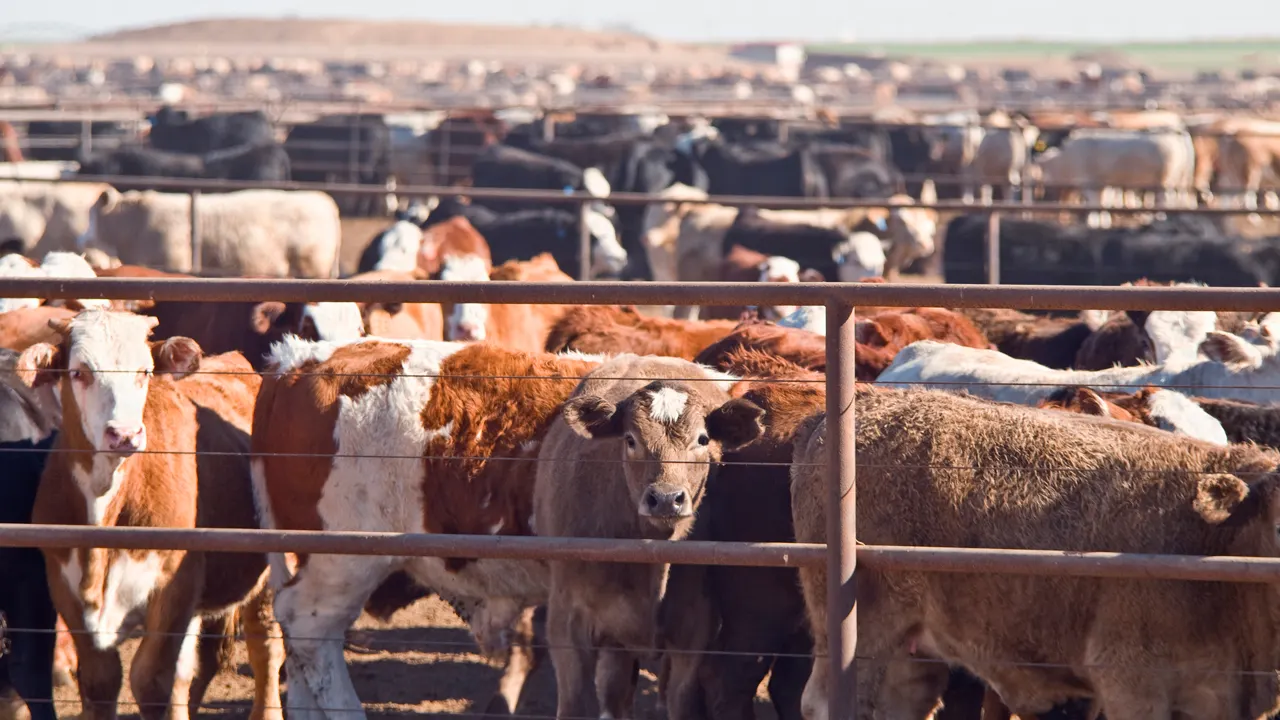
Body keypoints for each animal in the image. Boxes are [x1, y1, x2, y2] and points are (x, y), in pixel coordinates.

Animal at [16, 309, 284, 720]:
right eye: (78, 372)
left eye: (144, 371)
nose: (124, 435)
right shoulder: (64, 585)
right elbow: (102, 680)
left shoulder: (173, 584)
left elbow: (151, 680)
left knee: (265, 647)